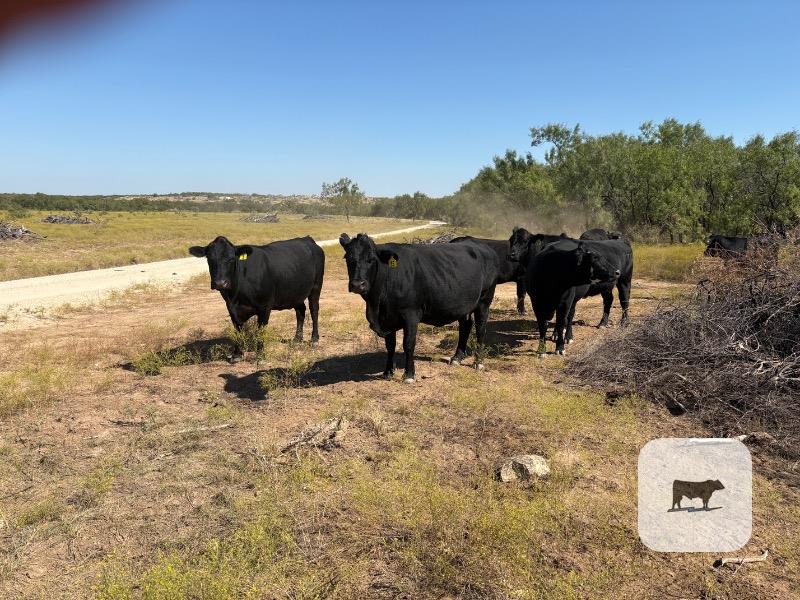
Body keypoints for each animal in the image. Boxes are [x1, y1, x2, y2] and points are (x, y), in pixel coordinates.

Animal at [189, 236, 324, 361]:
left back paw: (314, 339)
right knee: (300, 311)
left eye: (231, 259)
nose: (220, 283)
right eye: (210, 259)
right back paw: (297, 339)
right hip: (295, 293)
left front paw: (260, 356)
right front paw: (237, 354)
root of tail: (307, 239)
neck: (236, 294)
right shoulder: (231, 307)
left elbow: (260, 331)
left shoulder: (265, 307)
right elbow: (237, 329)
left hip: (316, 287)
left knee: (314, 310)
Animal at [339, 233, 498, 383]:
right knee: (465, 326)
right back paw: (457, 358)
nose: (357, 284)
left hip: (484, 300)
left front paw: (409, 374)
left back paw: (478, 362)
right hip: (464, 305)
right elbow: (390, 345)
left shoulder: (410, 314)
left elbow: (408, 344)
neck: (377, 305)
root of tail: (477, 244)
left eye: (371, 259)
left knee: (480, 329)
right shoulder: (388, 318)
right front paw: (388, 372)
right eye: (347, 258)